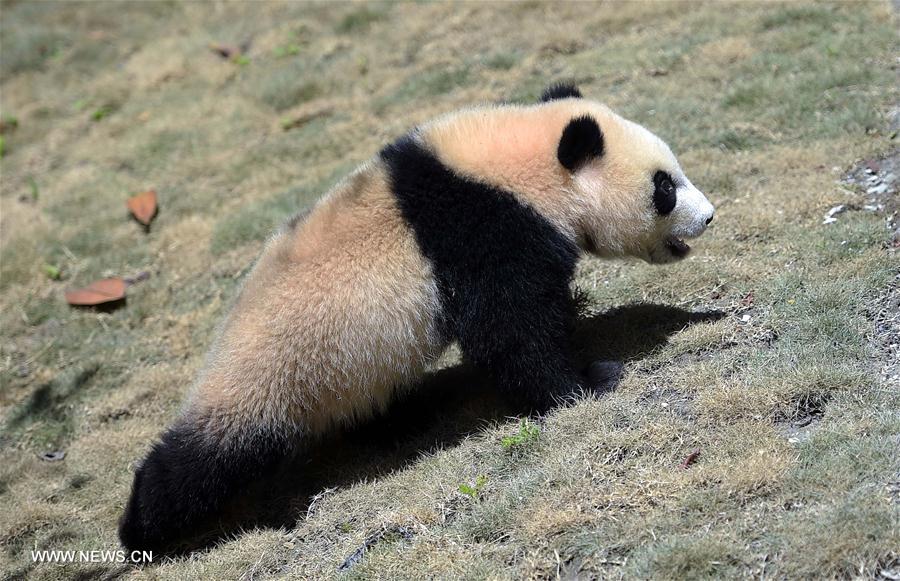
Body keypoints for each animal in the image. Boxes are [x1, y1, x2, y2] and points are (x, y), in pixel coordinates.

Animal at [119, 83, 715, 554]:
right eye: (665, 187)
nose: (708, 216)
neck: (518, 169)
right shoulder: (481, 233)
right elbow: (510, 332)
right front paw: (586, 382)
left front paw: (578, 316)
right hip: (272, 375)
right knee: (205, 458)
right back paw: (141, 529)